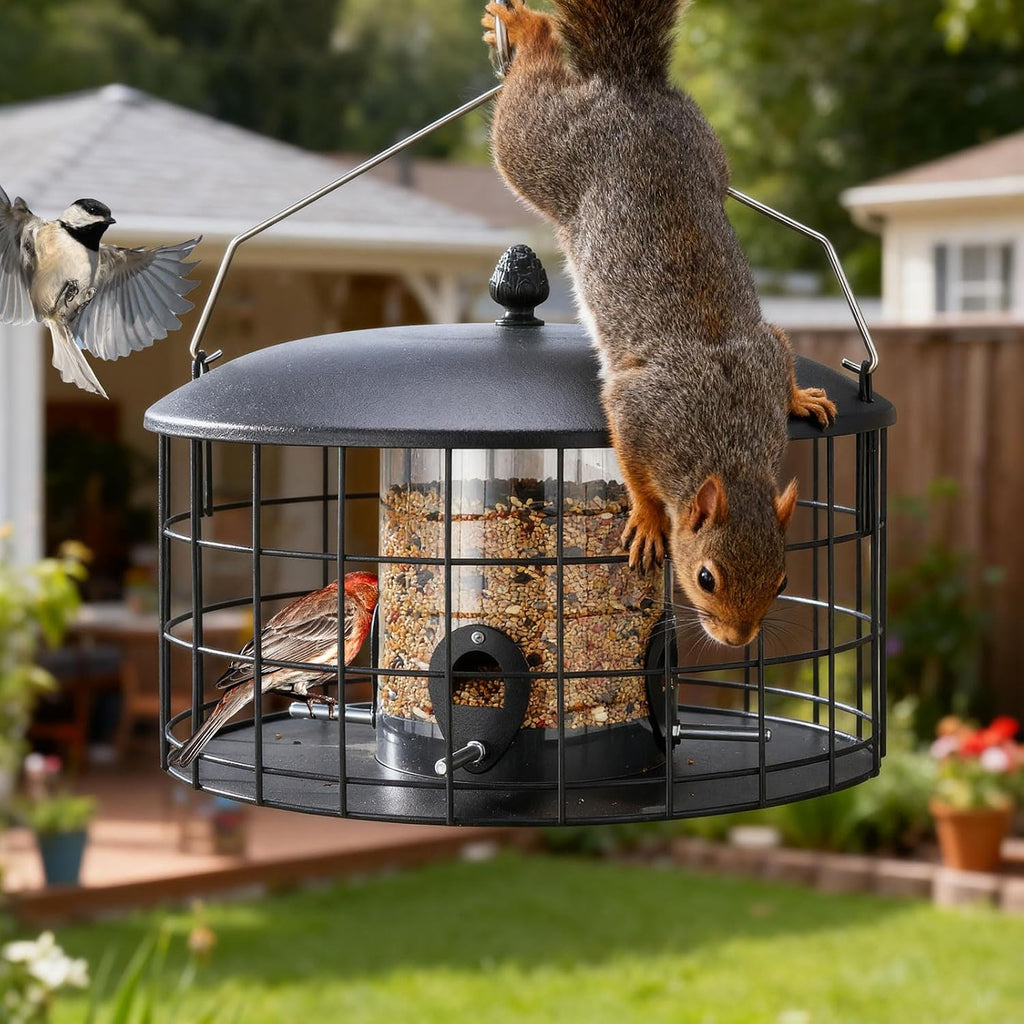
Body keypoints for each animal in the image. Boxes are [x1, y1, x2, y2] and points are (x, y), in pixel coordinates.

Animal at [483, 0, 837, 648]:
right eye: (705, 577)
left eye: (781, 579)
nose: (737, 640)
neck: (727, 446)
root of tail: (629, 85)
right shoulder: (640, 409)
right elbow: (632, 466)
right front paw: (648, 519)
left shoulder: (763, 354)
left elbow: (779, 347)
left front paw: (802, 397)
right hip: (542, 148)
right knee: (527, 97)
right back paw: (526, 26)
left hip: (708, 142)